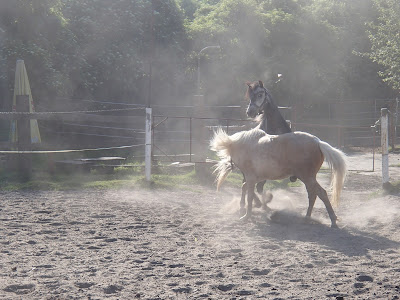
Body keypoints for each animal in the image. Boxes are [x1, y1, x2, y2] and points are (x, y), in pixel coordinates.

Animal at [209, 127, 346, 227]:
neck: (242, 146)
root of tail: (318, 142)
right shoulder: (256, 178)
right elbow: (245, 188)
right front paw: (243, 208)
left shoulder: (251, 177)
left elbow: (249, 195)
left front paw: (246, 215)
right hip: (308, 179)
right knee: (313, 195)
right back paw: (306, 218)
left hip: (307, 177)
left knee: (321, 193)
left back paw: (333, 221)